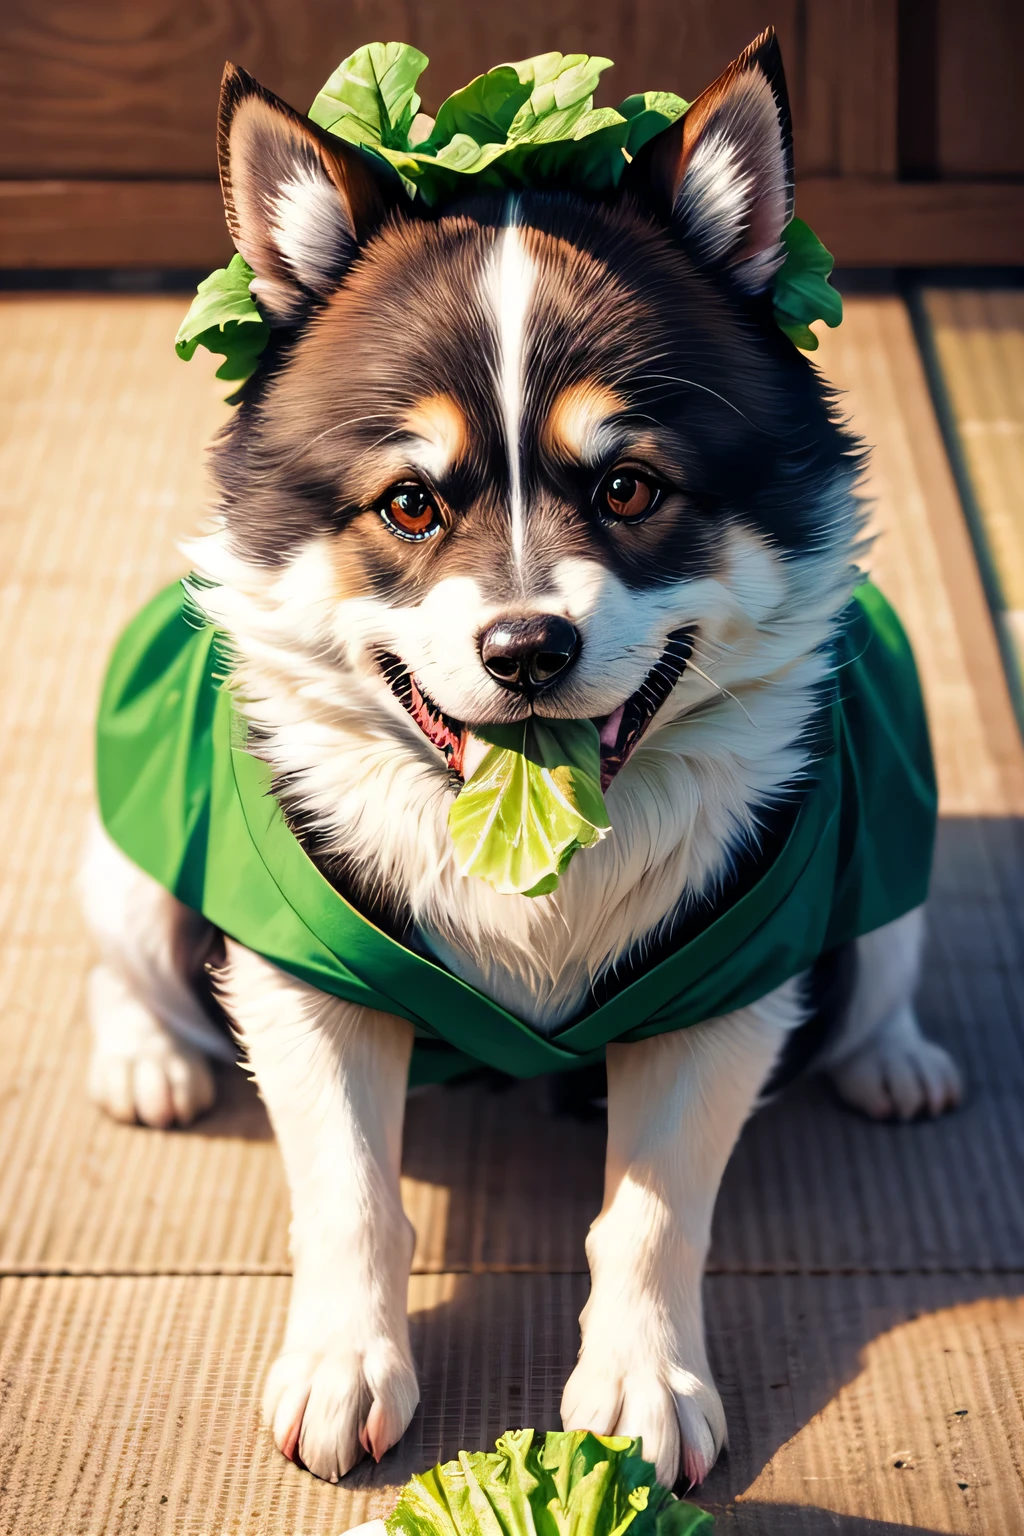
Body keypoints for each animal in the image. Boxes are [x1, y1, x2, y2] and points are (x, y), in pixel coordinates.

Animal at [78, 27, 964, 1486]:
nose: (526, 649)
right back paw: (145, 1059)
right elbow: (350, 1192)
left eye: (629, 487)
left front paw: (645, 1384)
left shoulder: (730, 976)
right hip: (134, 853)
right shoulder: (306, 968)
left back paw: (895, 1061)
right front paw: (345, 1365)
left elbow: (654, 1211)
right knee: (127, 950)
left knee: (884, 966)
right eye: (409, 503)